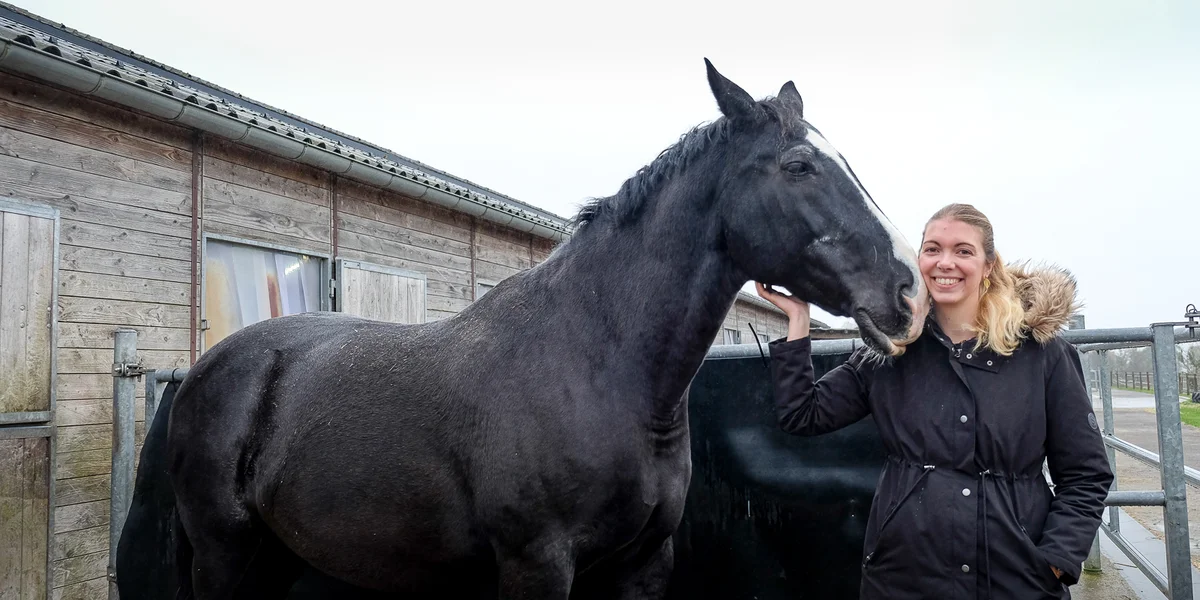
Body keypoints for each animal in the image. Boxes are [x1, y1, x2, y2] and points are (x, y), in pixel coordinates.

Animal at [159, 60, 926, 600]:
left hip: (273, 556)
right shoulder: (537, 564)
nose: (909, 292)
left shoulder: (644, 565)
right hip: (224, 552)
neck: (595, 368)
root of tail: (208, 369)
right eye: (798, 165)